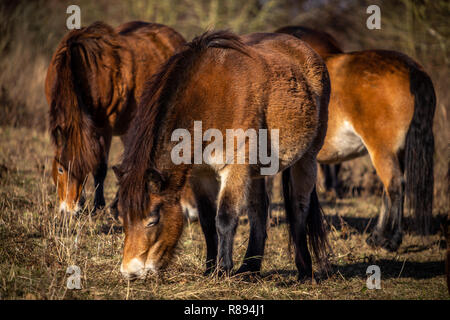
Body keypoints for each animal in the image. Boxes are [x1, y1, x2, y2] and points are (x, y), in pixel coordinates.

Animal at [113, 30, 330, 280]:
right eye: (123, 217)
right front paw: (210, 269)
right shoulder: (201, 174)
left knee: (298, 207)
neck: (209, 98)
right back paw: (249, 269)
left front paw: (223, 270)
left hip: (307, 159)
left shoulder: (234, 168)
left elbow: (225, 217)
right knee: (258, 211)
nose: (130, 272)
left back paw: (304, 270)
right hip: (257, 172)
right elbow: (207, 221)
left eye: (153, 219)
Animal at [274, 25, 436, 251]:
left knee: (394, 185)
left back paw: (389, 240)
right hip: (398, 151)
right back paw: (378, 236)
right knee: (389, 189)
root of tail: (412, 68)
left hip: (382, 149)